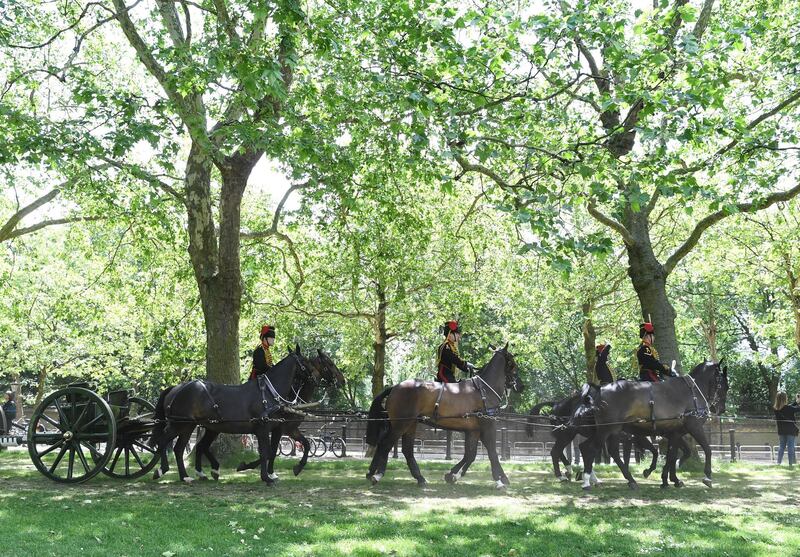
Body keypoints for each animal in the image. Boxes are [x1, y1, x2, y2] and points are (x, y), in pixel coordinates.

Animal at [152, 344, 314, 482]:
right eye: (305, 361)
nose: (314, 378)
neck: (268, 392)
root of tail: (177, 388)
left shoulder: (276, 429)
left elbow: (290, 447)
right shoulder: (263, 429)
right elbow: (266, 452)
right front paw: (265, 477)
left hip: (191, 427)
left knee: (181, 448)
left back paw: (187, 475)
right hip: (180, 424)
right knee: (164, 441)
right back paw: (162, 470)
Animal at [364, 344, 524, 486]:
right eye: (512, 364)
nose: (520, 385)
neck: (484, 390)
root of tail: (395, 387)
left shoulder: (473, 430)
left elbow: (470, 454)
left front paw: (453, 474)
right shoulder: (488, 426)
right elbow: (492, 452)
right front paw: (500, 479)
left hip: (410, 424)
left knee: (405, 449)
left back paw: (416, 478)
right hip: (401, 424)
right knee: (386, 444)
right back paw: (377, 474)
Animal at [572, 358, 728, 488]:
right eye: (725, 385)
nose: (720, 409)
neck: (692, 392)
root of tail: (600, 389)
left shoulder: (675, 433)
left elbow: (674, 455)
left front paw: (669, 478)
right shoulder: (694, 427)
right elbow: (707, 449)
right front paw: (707, 476)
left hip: (607, 430)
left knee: (592, 448)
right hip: (607, 430)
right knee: (594, 448)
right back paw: (588, 481)